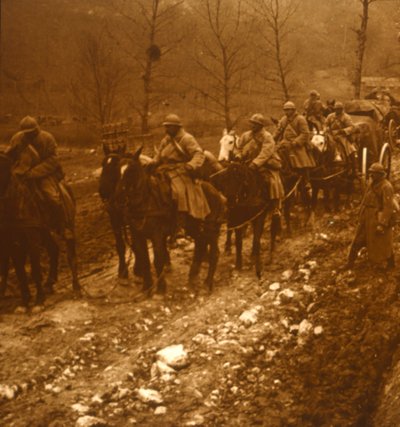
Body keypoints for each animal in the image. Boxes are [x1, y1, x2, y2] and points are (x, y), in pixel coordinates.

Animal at [119, 147, 225, 294]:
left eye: (132, 169)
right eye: (118, 169)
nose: (120, 195)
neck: (147, 202)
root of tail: (215, 192)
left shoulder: (157, 235)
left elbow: (158, 260)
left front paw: (160, 289)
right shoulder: (137, 235)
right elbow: (144, 260)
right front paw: (146, 287)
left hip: (211, 228)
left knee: (214, 253)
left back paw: (207, 283)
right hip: (194, 227)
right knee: (200, 244)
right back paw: (192, 277)